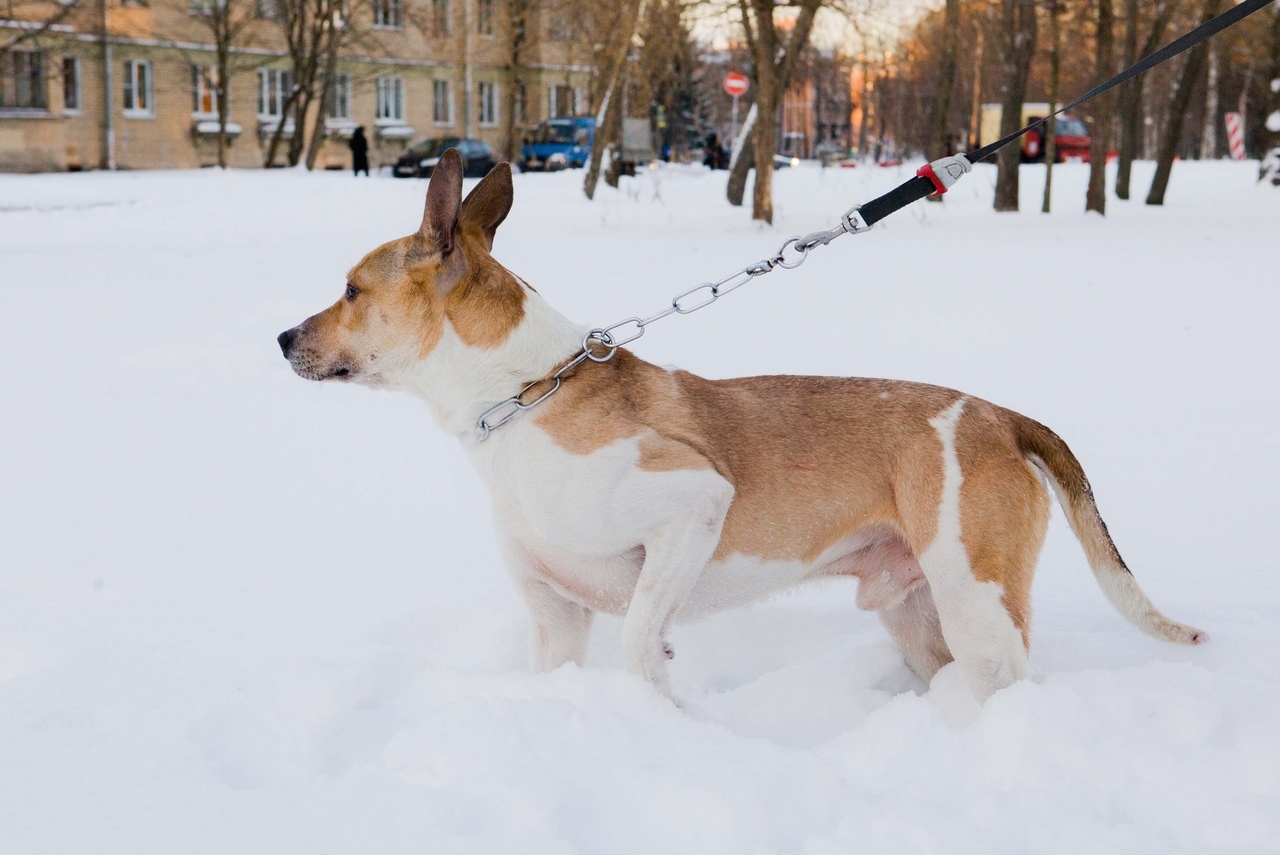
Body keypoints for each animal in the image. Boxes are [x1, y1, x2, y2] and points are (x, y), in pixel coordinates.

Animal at [275, 150, 1203, 706]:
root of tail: (1005, 418)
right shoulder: (555, 617)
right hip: (918, 612)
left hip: (977, 604)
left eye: (352, 289)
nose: (283, 338)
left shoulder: (692, 506)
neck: (524, 395)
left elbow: (643, 632)